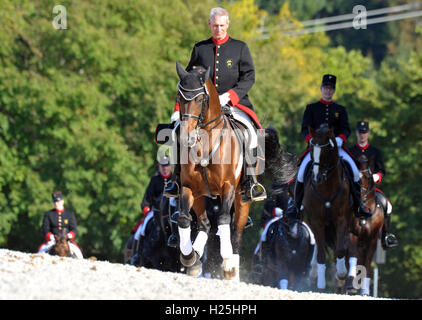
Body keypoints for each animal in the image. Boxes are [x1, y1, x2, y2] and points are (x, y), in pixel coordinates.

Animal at [173, 62, 296, 280]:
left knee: (236, 231)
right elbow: (184, 219)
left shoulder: (228, 186)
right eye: (179, 98)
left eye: (200, 99)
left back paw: (233, 268)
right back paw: (196, 259)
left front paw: (228, 262)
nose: (186, 138)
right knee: (205, 224)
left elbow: (223, 220)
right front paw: (189, 257)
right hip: (201, 195)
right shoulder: (188, 187)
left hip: (242, 198)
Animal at [302, 124, 354, 292]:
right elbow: (321, 253)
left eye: (327, 151)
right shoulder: (316, 221)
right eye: (312, 150)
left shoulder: (341, 219)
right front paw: (321, 283)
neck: (326, 186)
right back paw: (313, 273)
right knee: (319, 246)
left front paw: (341, 273)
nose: (316, 178)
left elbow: (340, 249)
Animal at [344, 155, 384, 296]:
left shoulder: (372, 239)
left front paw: (364, 290)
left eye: (367, 177)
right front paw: (350, 284)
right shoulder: (352, 234)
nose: (358, 194)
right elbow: (353, 256)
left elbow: (367, 262)